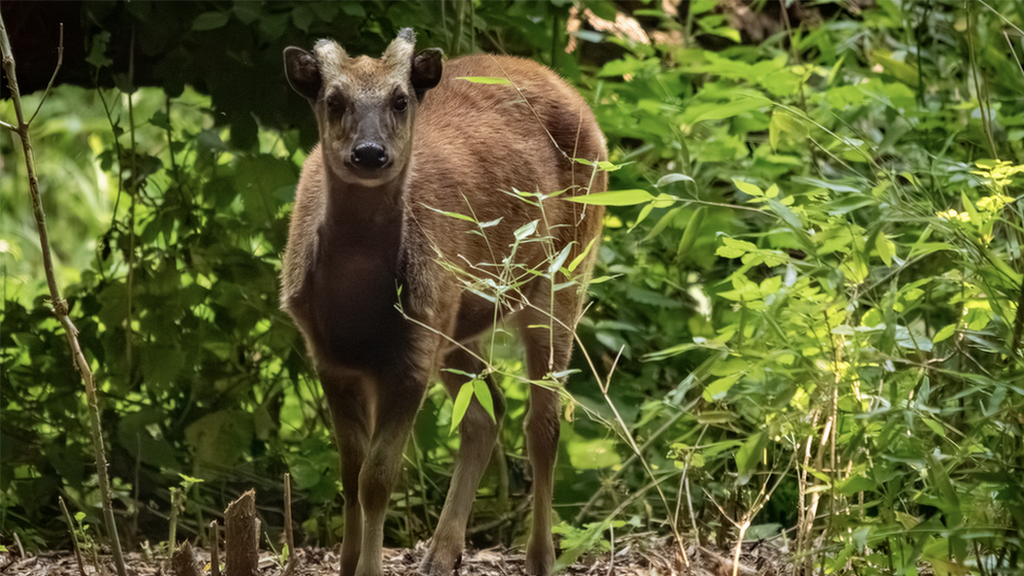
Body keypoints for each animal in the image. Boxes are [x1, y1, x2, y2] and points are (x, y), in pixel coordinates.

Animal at [278, 29, 606, 573]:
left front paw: (369, 567)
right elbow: (349, 470)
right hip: (455, 324)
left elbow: (377, 478)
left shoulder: (411, 357)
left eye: (400, 99)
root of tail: (568, 87)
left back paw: (540, 556)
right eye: (333, 99)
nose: (370, 153)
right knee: (487, 411)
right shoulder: (329, 356)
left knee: (544, 421)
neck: (357, 307)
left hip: (566, 268)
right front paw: (349, 562)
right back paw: (442, 552)